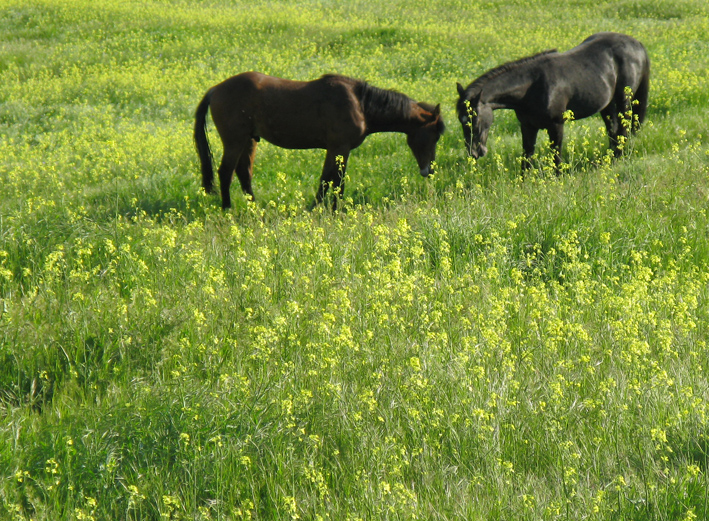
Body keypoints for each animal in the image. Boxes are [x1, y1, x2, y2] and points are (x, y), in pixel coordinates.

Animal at [194, 71, 446, 209]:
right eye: (434, 136)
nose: (429, 171)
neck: (360, 104)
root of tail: (216, 89)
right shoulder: (339, 147)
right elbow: (332, 181)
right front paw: (327, 209)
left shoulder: (338, 149)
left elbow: (331, 180)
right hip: (235, 141)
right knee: (225, 173)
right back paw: (227, 209)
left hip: (249, 141)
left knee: (244, 173)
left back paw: (255, 209)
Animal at [456, 32, 648, 171]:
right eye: (461, 121)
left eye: (475, 119)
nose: (475, 153)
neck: (532, 87)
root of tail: (637, 44)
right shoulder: (528, 126)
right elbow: (527, 157)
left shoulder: (556, 125)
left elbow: (556, 157)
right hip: (606, 105)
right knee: (613, 130)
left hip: (624, 100)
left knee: (623, 130)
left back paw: (617, 159)